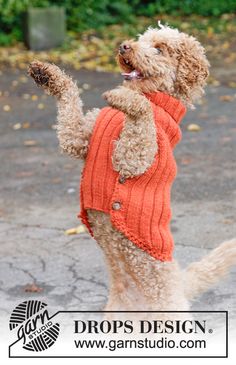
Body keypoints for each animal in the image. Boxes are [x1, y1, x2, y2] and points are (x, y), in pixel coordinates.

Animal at [28, 24, 235, 316]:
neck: (158, 99)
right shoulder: (78, 138)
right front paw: (48, 74)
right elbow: (69, 97)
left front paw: (123, 96)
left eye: (159, 49)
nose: (124, 46)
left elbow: (142, 110)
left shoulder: (135, 155)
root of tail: (179, 287)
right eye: (141, 40)